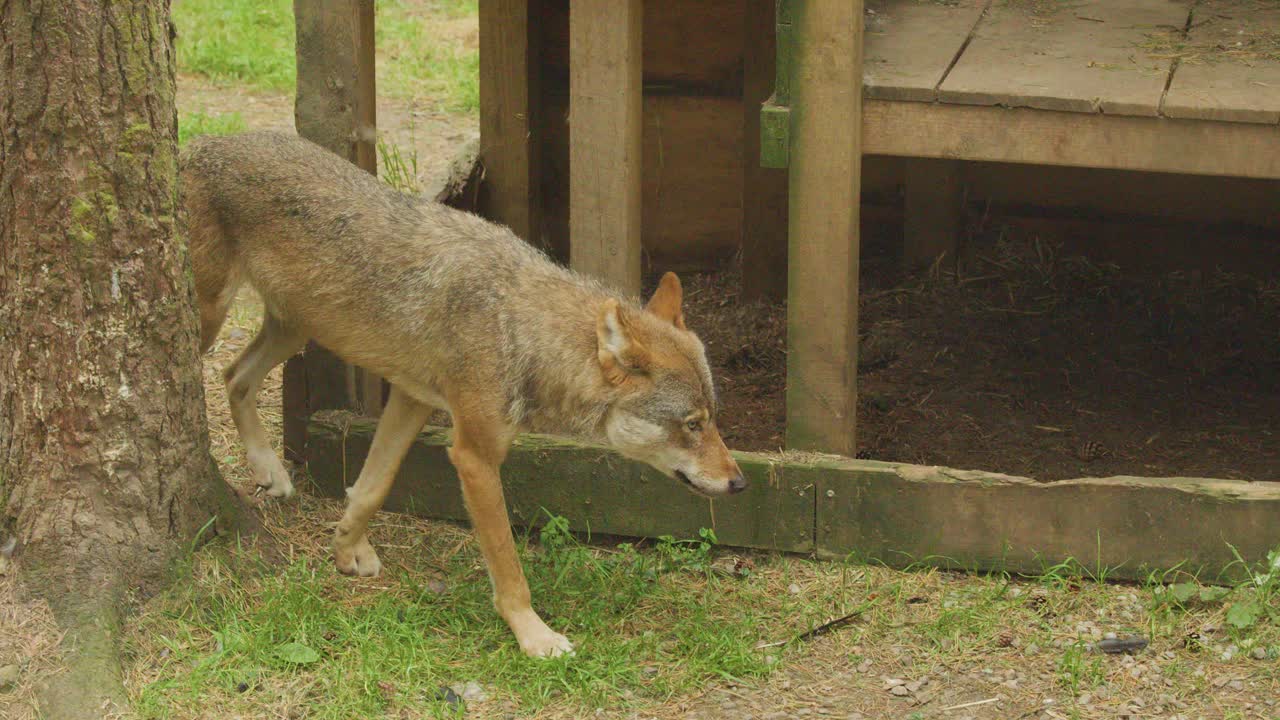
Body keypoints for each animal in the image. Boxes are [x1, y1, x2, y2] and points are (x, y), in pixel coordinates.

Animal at [181, 131, 746, 657]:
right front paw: (534, 636)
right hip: (210, 320)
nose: (740, 483)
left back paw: (269, 470)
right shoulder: (474, 457)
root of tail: (199, 145)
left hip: (294, 329)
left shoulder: (412, 400)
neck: (517, 327)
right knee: (210, 376)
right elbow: (508, 563)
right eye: (692, 424)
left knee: (233, 376)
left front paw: (346, 548)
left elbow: (372, 487)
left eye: (713, 418)